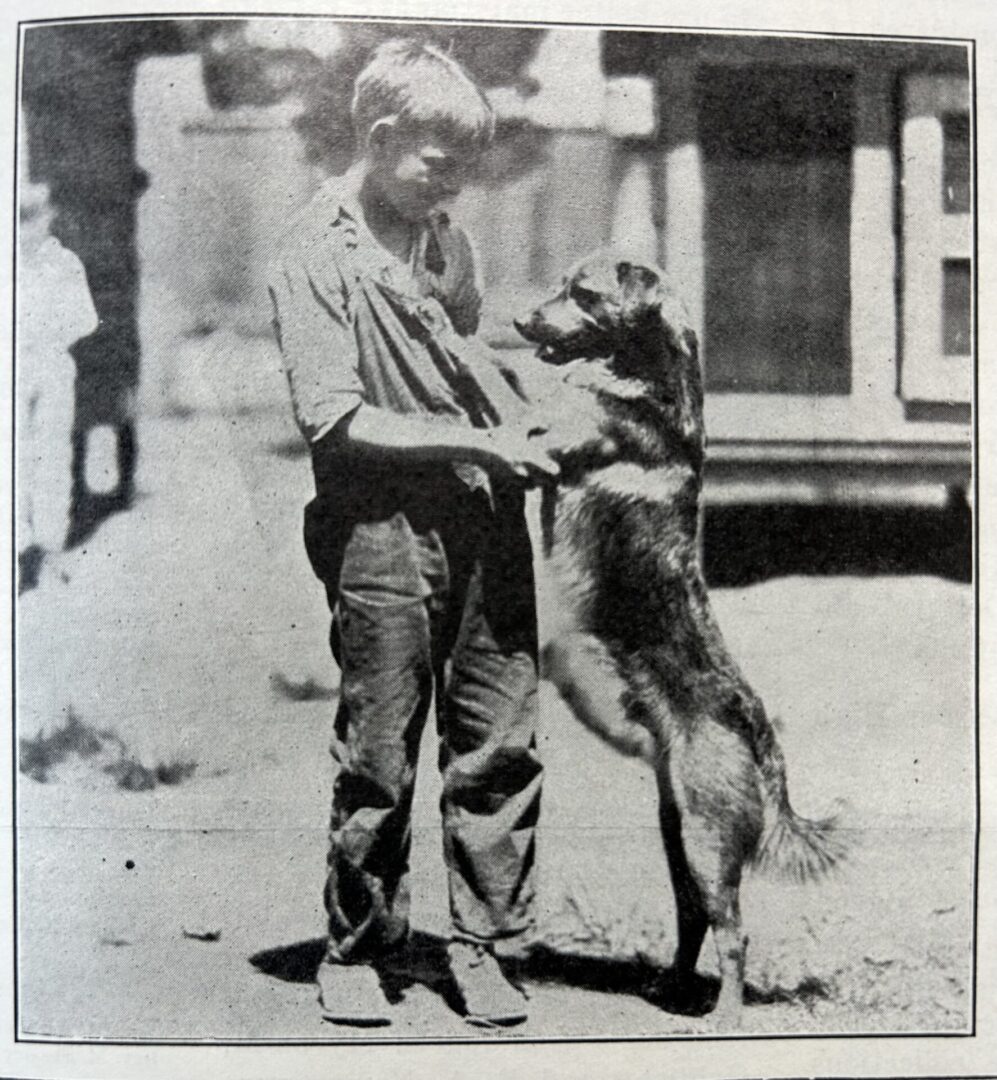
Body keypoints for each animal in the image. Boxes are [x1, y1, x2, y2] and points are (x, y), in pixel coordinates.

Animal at [509, 252, 846, 1028]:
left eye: (582, 294)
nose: (519, 321)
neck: (649, 380)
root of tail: (757, 727)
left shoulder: (549, 444)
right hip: (678, 832)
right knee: (693, 920)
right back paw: (672, 989)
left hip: (705, 839)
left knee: (733, 933)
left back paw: (725, 1017)